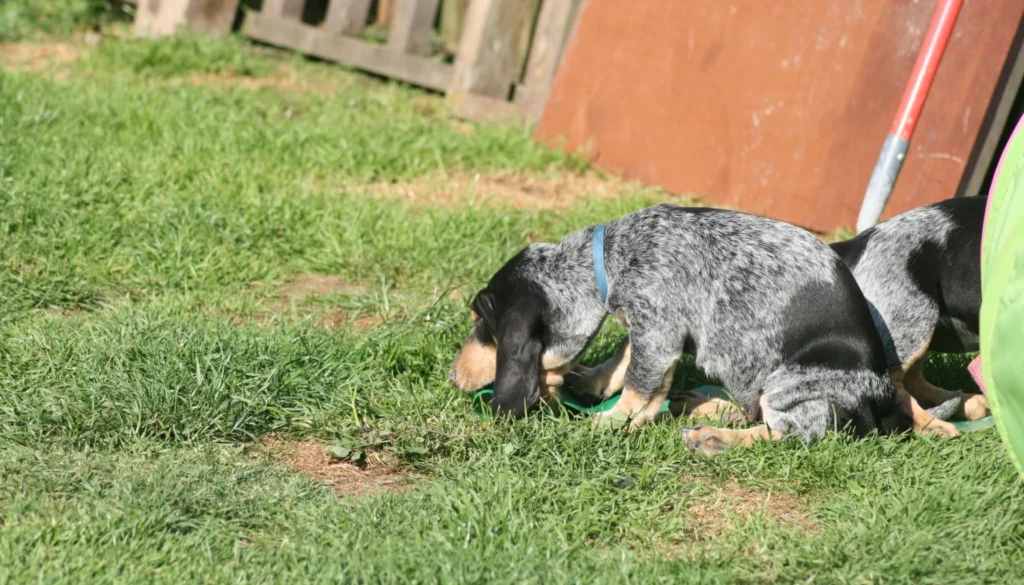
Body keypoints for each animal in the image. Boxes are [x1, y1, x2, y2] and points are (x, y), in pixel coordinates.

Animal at [450, 203, 913, 450]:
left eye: (481, 321)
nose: (452, 377)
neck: (607, 260)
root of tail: (887, 410)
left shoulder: (658, 332)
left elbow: (638, 388)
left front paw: (609, 422)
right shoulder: (647, 326)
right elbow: (622, 362)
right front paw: (592, 383)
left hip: (790, 385)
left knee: (790, 433)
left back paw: (711, 437)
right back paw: (701, 405)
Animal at [831, 194, 991, 436]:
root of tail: (852, 244)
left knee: (912, 380)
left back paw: (967, 402)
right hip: (914, 315)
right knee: (894, 386)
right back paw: (935, 427)